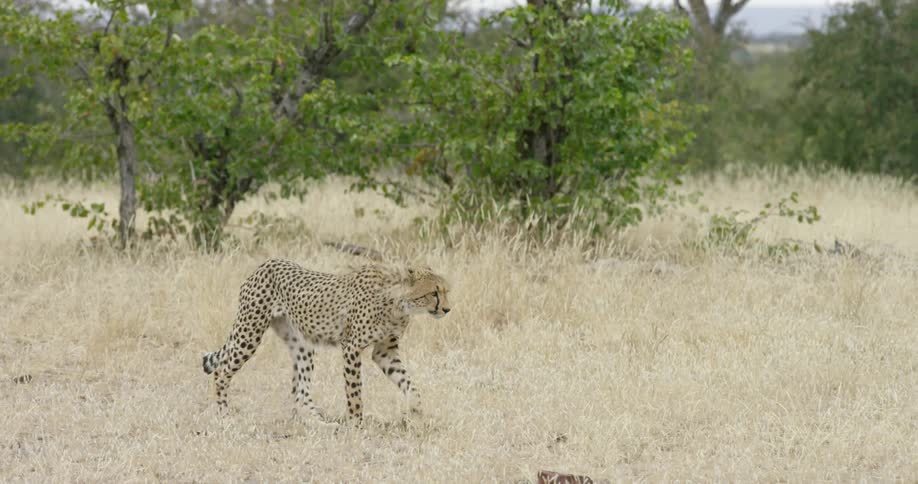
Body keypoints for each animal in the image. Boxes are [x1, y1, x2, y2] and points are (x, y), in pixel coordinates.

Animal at [202, 258, 451, 423]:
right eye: (433, 293)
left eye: (446, 291)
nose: (447, 309)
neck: (397, 302)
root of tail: (266, 263)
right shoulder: (351, 347)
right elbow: (354, 391)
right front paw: (355, 423)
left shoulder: (384, 352)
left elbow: (409, 383)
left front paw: (417, 413)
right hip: (249, 333)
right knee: (222, 370)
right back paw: (223, 412)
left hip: (302, 344)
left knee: (300, 392)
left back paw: (317, 421)